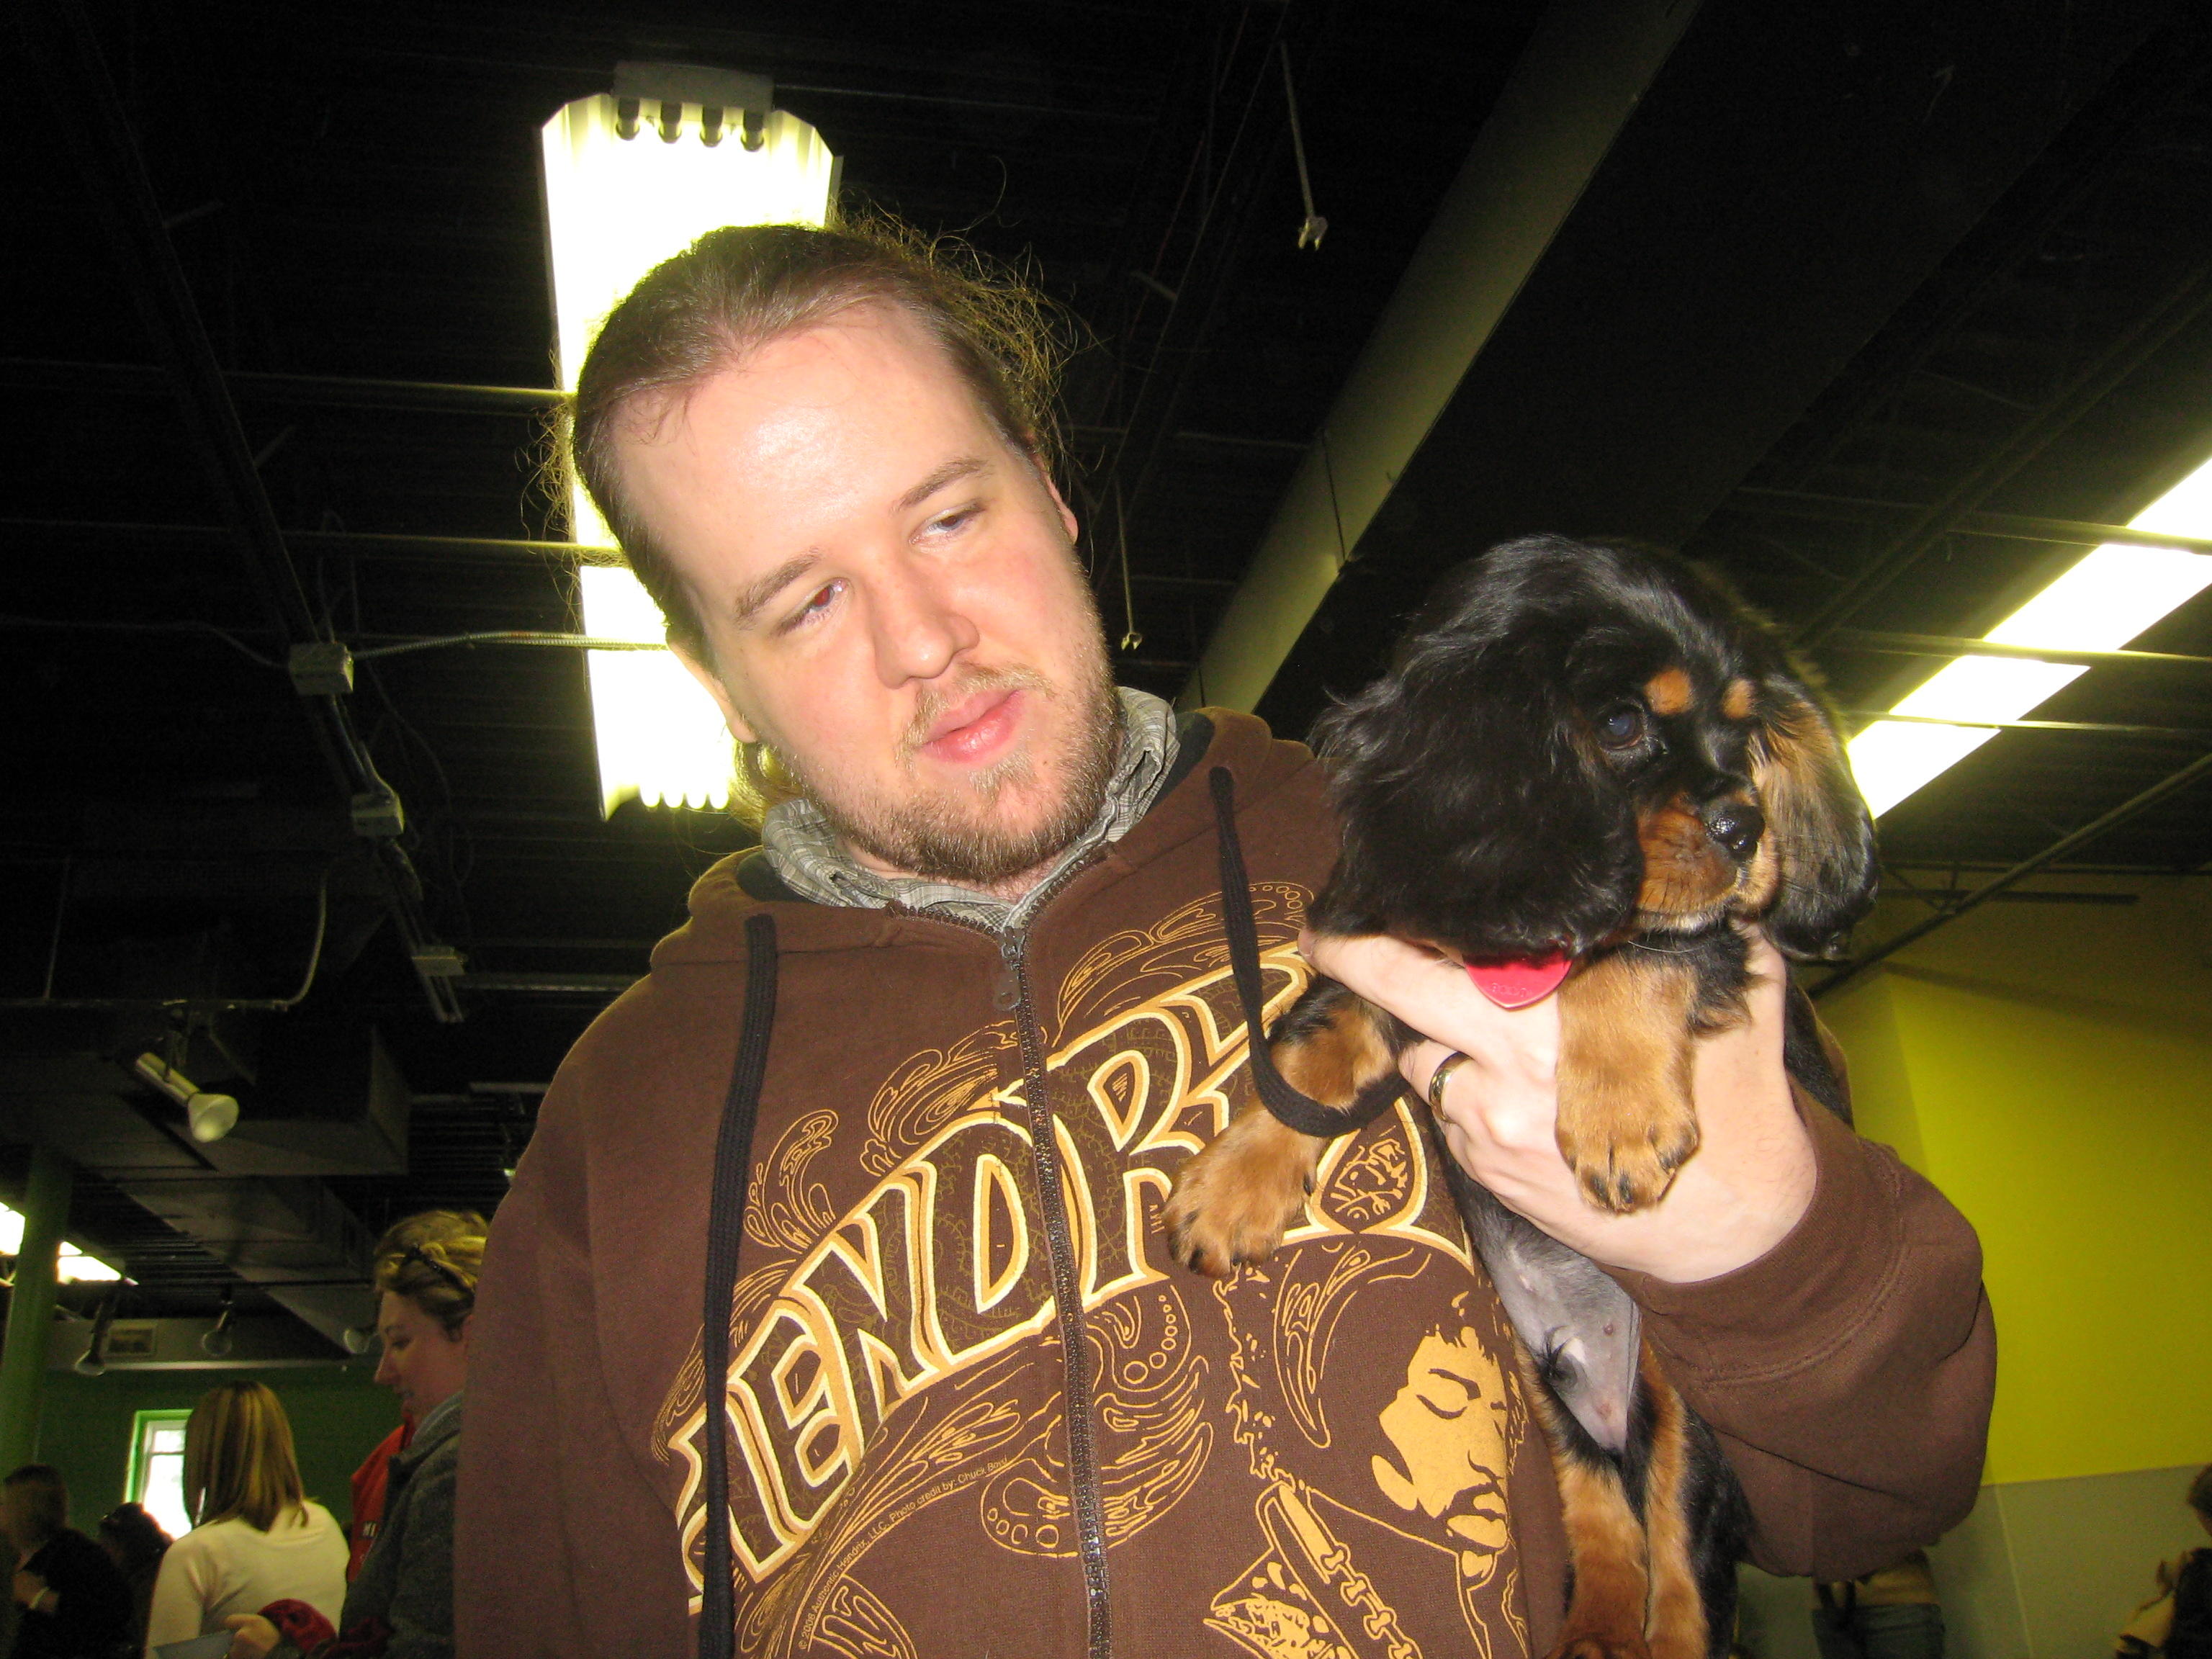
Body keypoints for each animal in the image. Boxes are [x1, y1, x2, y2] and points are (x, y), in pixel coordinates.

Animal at [1165, 535, 1879, 1659]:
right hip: (1542, 1380)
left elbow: (1631, 948)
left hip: (1688, 1399)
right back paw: (1594, 1623)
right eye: (1622, 726)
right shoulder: (1378, 943)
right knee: (1598, 1496)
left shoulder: (1704, 940)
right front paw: (1232, 1190)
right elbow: (1310, 1055)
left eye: (1748, 734)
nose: (1747, 825)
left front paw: (1620, 1115)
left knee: (1680, 1539)